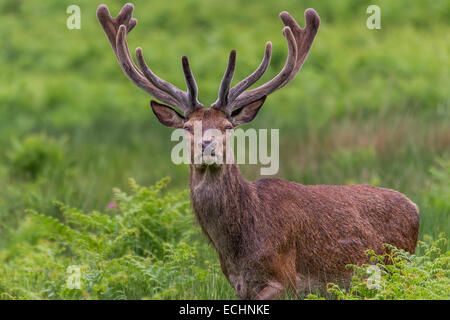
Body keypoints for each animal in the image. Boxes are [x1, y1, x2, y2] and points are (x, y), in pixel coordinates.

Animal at [96, 3, 420, 300]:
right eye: (188, 127)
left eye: (227, 126)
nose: (206, 145)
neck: (240, 248)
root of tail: (416, 208)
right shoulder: (239, 285)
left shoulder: (286, 278)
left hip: (397, 266)